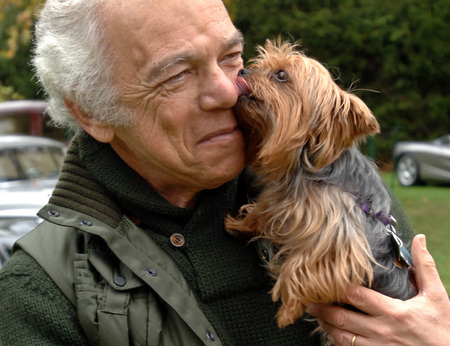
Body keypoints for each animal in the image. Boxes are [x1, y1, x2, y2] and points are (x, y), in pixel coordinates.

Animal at [227, 39, 416, 334]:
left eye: (281, 75)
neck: (310, 170)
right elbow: (264, 211)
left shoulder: (340, 238)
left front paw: (288, 311)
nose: (243, 71)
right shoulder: (282, 200)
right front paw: (239, 224)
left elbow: (300, 265)